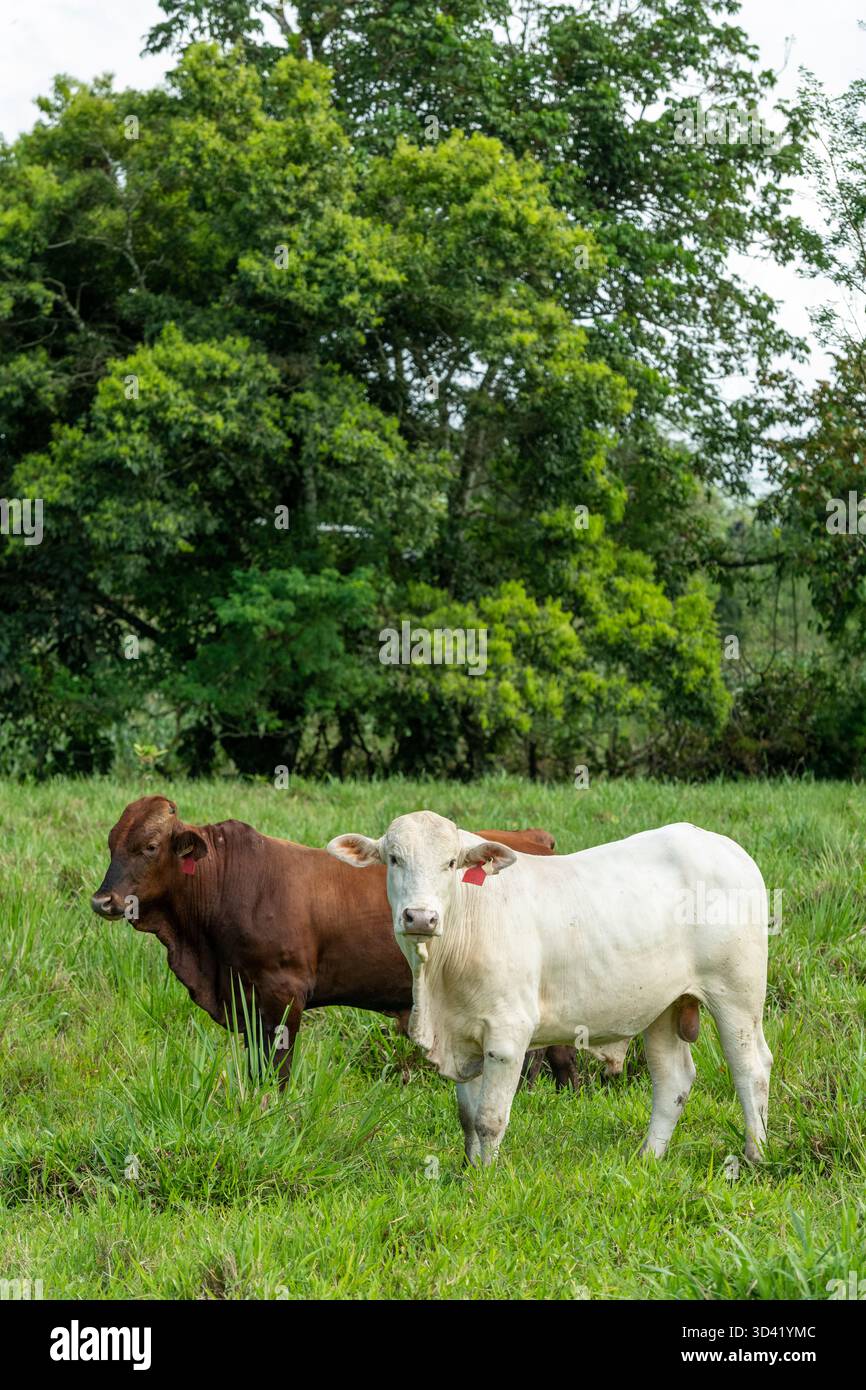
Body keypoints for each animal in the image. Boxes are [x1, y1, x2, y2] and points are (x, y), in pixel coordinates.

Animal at [89, 796, 571, 1084]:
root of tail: (535, 839)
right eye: (112, 843)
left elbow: (276, 1072)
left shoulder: (282, 995)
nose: (103, 900)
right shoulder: (247, 999)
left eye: (150, 846)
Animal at [326, 811, 772, 1166]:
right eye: (394, 858)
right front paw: (468, 1169)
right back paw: (649, 1158)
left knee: (751, 1069)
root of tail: (722, 845)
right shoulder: (462, 1036)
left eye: (450, 862)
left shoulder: (507, 1036)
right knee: (672, 1080)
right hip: (664, 1005)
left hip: (737, 995)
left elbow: (489, 1119)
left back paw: (755, 1154)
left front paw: (484, 1178)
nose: (420, 917)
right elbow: (467, 1118)